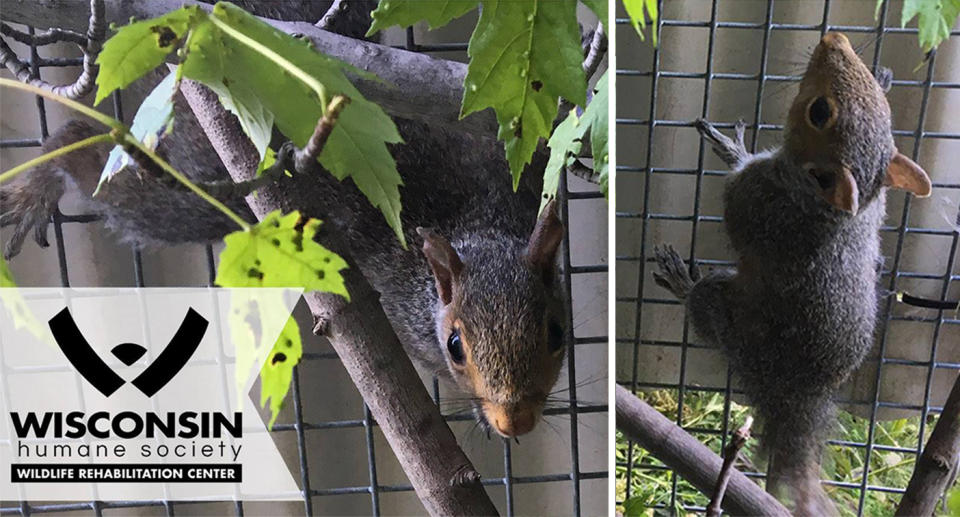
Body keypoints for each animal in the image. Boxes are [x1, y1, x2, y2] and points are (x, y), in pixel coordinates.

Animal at [0, 0, 568, 438]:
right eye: (455, 347)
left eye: (557, 332)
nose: (515, 422)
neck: (483, 219)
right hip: (199, 179)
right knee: (103, 165)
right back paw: (39, 179)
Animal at [652, 32, 928, 512]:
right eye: (882, 110)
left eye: (819, 112)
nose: (834, 38)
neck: (824, 206)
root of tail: (799, 397)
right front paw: (884, 76)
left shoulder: (754, 198)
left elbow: (738, 195)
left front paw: (734, 149)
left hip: (729, 321)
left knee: (704, 311)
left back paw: (682, 282)